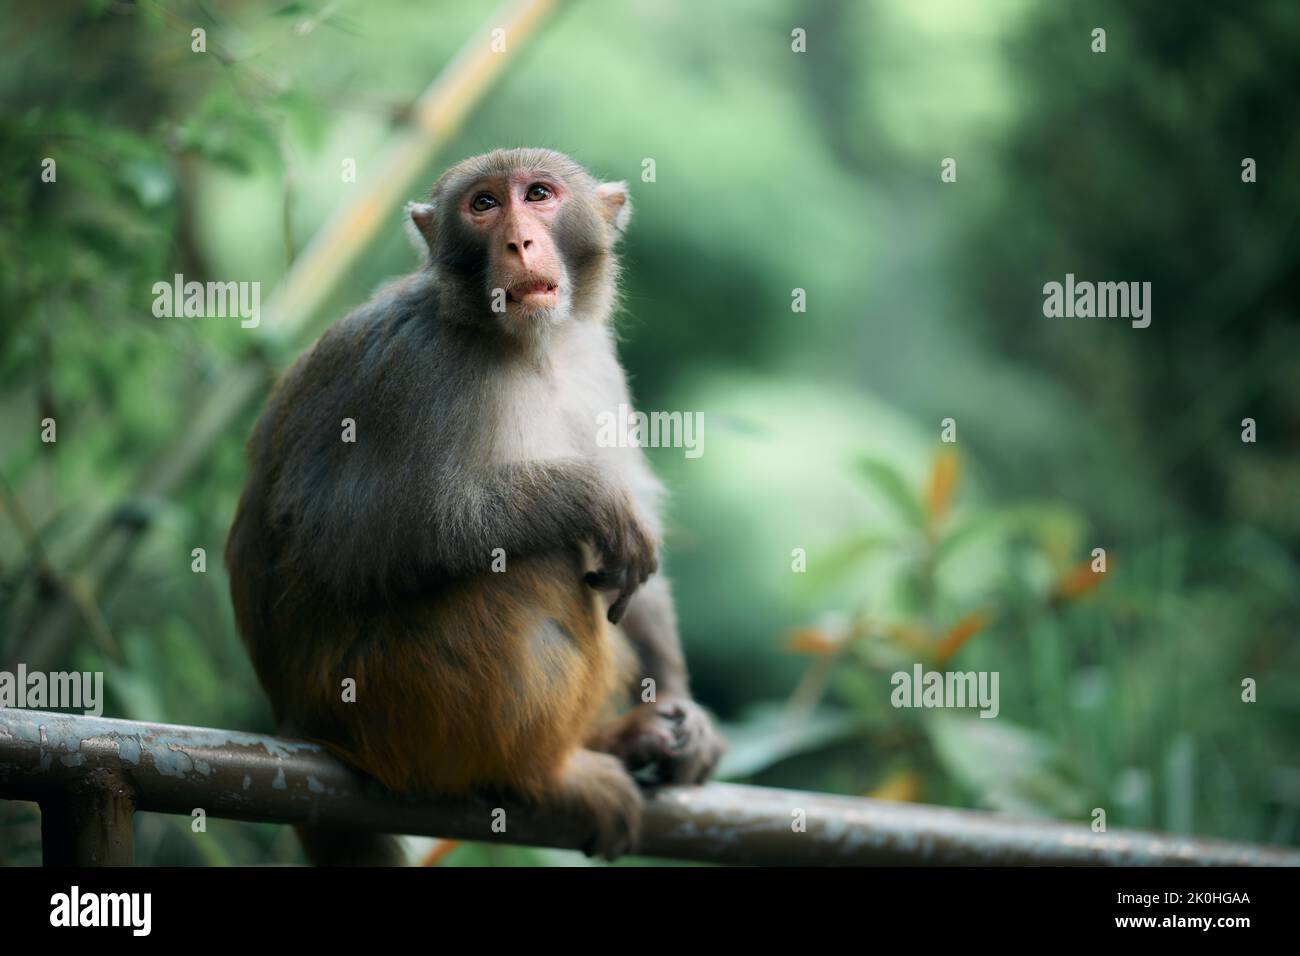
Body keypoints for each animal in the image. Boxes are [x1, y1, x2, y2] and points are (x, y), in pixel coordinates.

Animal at [225, 148, 725, 865]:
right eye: (484, 205)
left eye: (538, 195)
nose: (519, 240)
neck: (533, 349)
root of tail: (295, 718)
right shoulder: (420, 370)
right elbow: (367, 542)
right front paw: (590, 497)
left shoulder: (596, 363)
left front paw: (689, 714)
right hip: (393, 703)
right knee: (531, 566)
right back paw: (545, 773)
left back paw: (622, 739)